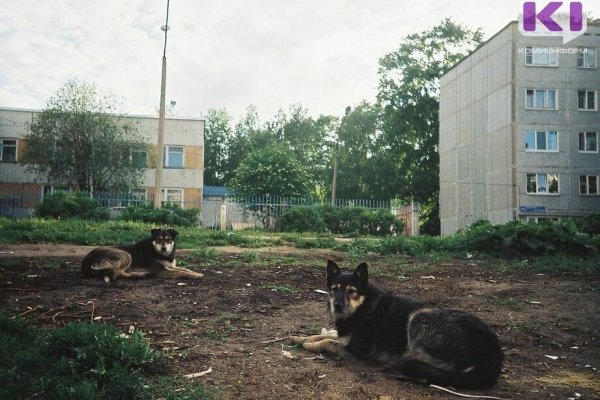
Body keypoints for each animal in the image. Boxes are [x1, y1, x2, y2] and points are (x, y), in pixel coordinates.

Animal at [290, 260, 502, 390]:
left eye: (352, 291)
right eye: (334, 289)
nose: (338, 305)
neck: (363, 306)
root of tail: (494, 352)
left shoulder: (355, 351)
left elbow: (328, 342)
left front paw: (309, 345)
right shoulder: (344, 335)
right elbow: (325, 335)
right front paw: (298, 338)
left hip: (419, 317)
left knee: (434, 372)